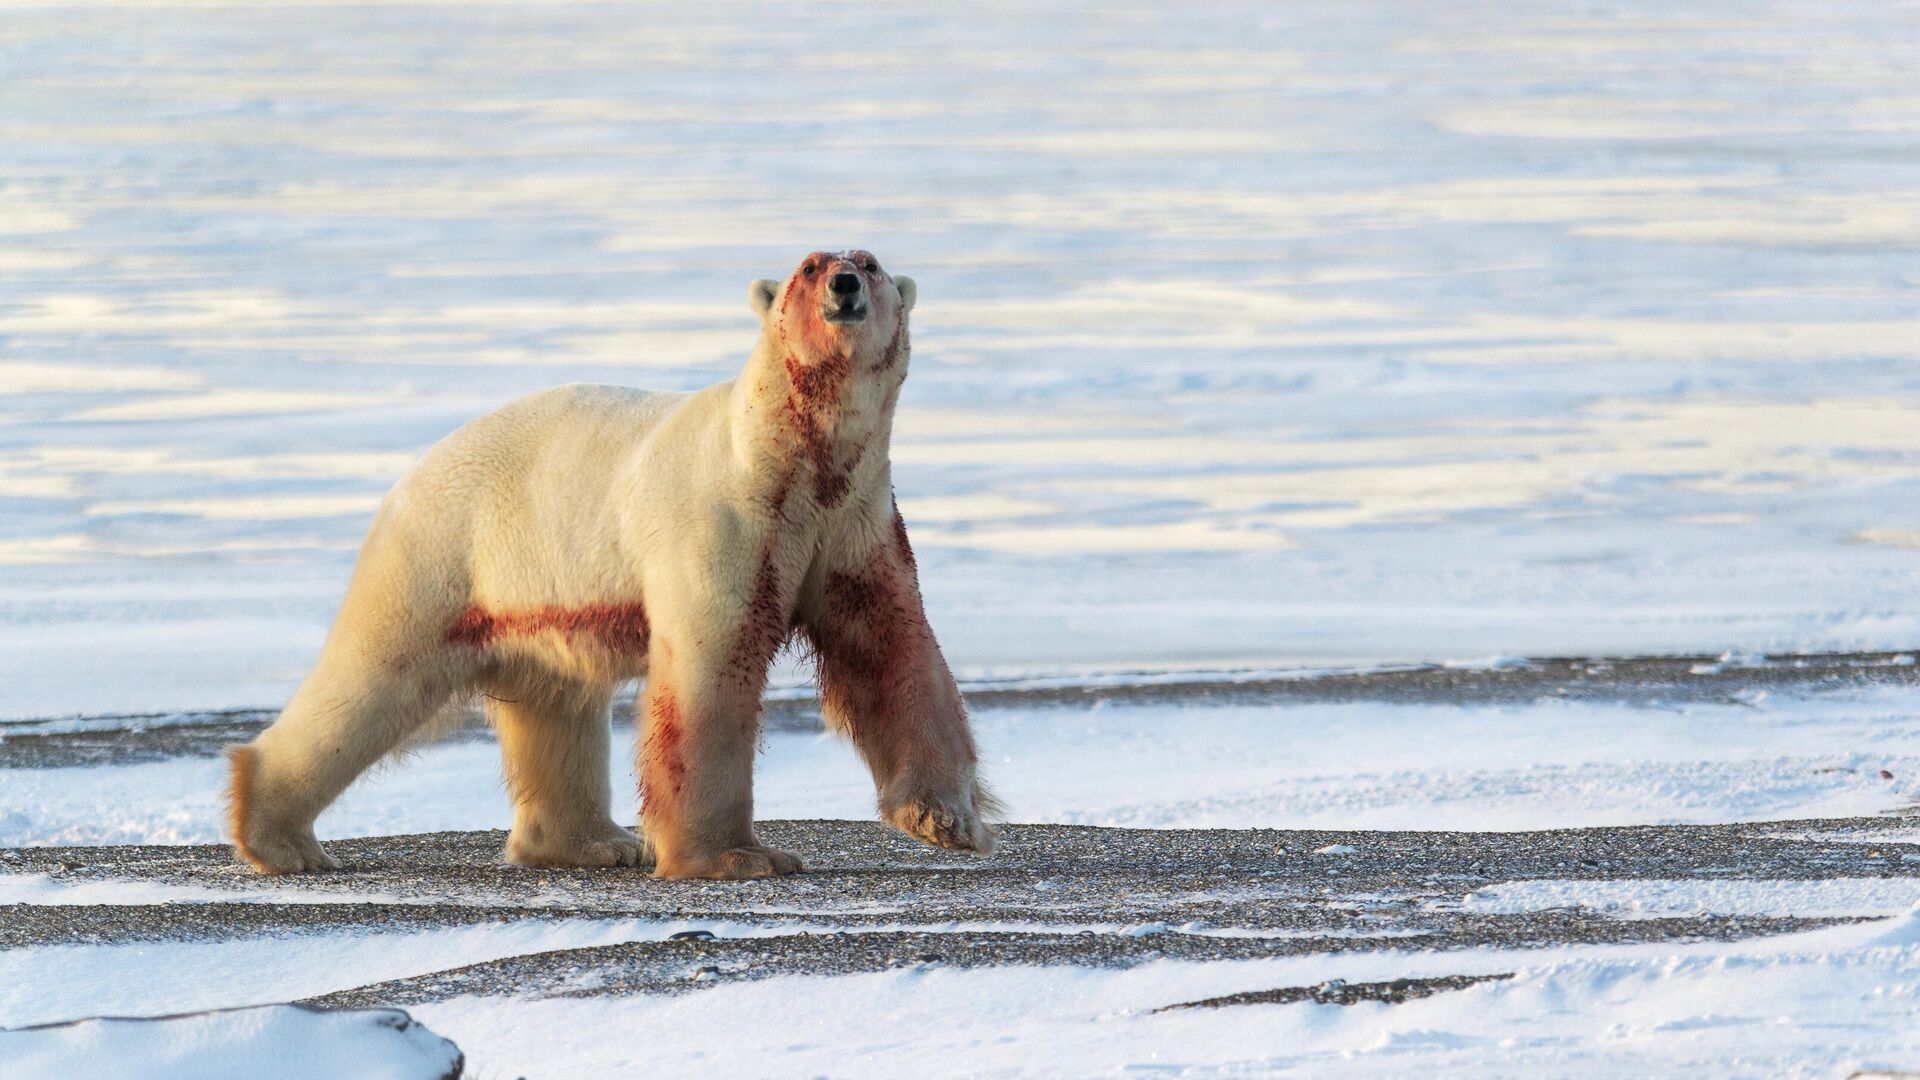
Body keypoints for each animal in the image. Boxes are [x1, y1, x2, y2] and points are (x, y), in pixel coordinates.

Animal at [228, 249, 990, 876]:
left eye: (870, 261)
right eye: (809, 266)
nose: (844, 285)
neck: (793, 459)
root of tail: (409, 476)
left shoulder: (854, 523)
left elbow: (891, 648)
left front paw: (948, 820)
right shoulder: (727, 520)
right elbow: (712, 669)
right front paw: (738, 857)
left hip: (538, 600)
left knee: (556, 708)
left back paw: (595, 843)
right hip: (443, 557)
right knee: (372, 677)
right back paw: (280, 839)